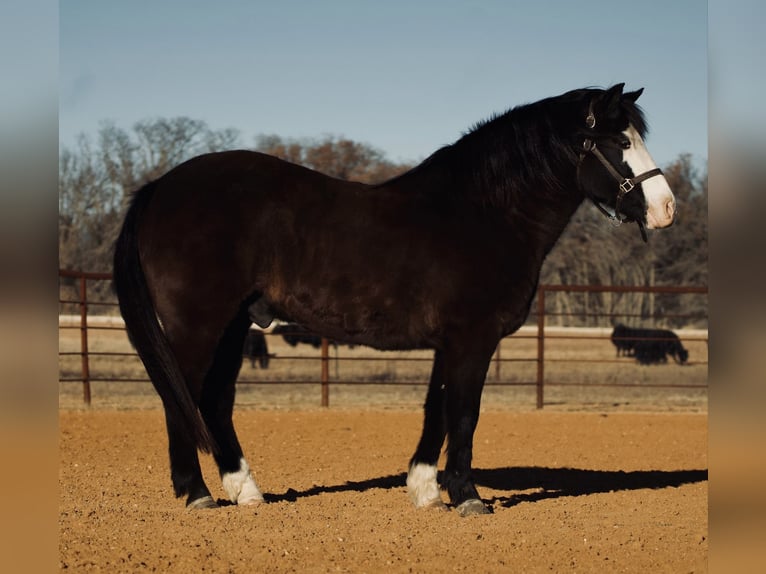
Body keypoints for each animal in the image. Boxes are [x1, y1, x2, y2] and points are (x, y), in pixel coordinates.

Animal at [113, 83, 676, 516]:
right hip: (198, 325)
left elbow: (436, 411)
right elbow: (464, 413)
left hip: (234, 325)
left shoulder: (449, 343)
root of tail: (160, 186)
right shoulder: (473, 339)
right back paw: (197, 494)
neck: (483, 212)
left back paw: (246, 491)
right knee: (180, 397)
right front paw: (468, 497)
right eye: (617, 140)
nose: (666, 208)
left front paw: (425, 490)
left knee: (214, 400)